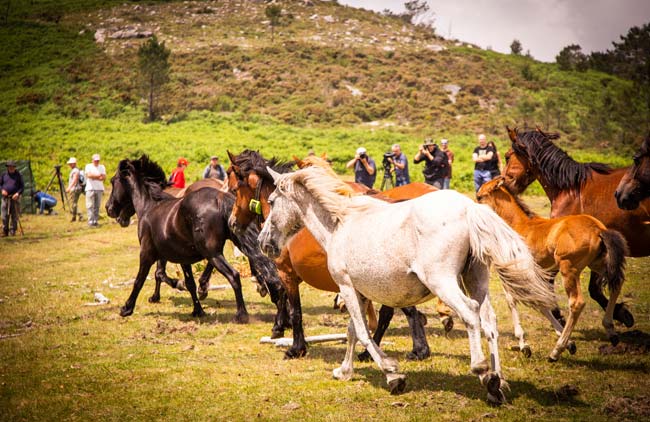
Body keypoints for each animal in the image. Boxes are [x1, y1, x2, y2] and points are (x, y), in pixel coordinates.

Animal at [106, 154, 288, 332]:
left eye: (113, 181)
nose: (109, 208)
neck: (149, 206)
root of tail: (220, 197)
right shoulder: (182, 258)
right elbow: (189, 283)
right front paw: (197, 310)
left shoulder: (147, 253)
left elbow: (141, 280)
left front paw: (127, 308)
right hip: (236, 243)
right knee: (265, 269)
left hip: (212, 253)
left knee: (234, 275)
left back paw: (242, 315)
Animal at [225, 150, 448, 362]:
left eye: (234, 189)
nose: (232, 222)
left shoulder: (286, 272)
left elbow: (294, 309)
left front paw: (295, 346)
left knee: (395, 311)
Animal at [256, 166, 556, 406]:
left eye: (270, 201)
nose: (263, 242)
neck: (339, 226)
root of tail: (470, 208)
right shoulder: (359, 292)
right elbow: (353, 331)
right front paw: (344, 371)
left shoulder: (346, 286)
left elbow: (363, 332)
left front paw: (393, 374)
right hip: (476, 277)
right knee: (489, 320)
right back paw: (498, 381)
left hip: (443, 281)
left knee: (470, 314)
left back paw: (483, 372)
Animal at [476, 176, 628, 362]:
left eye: (480, 197)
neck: (516, 225)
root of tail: (598, 229)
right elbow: (542, 304)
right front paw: (569, 342)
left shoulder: (511, 274)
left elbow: (514, 301)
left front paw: (524, 345)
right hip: (597, 264)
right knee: (616, 285)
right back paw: (611, 330)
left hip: (568, 268)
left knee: (576, 303)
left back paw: (556, 351)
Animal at [498, 128, 640, 326]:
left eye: (507, 156)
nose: (503, 181)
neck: (572, 189)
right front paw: (622, 313)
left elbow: (560, 283)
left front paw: (557, 314)